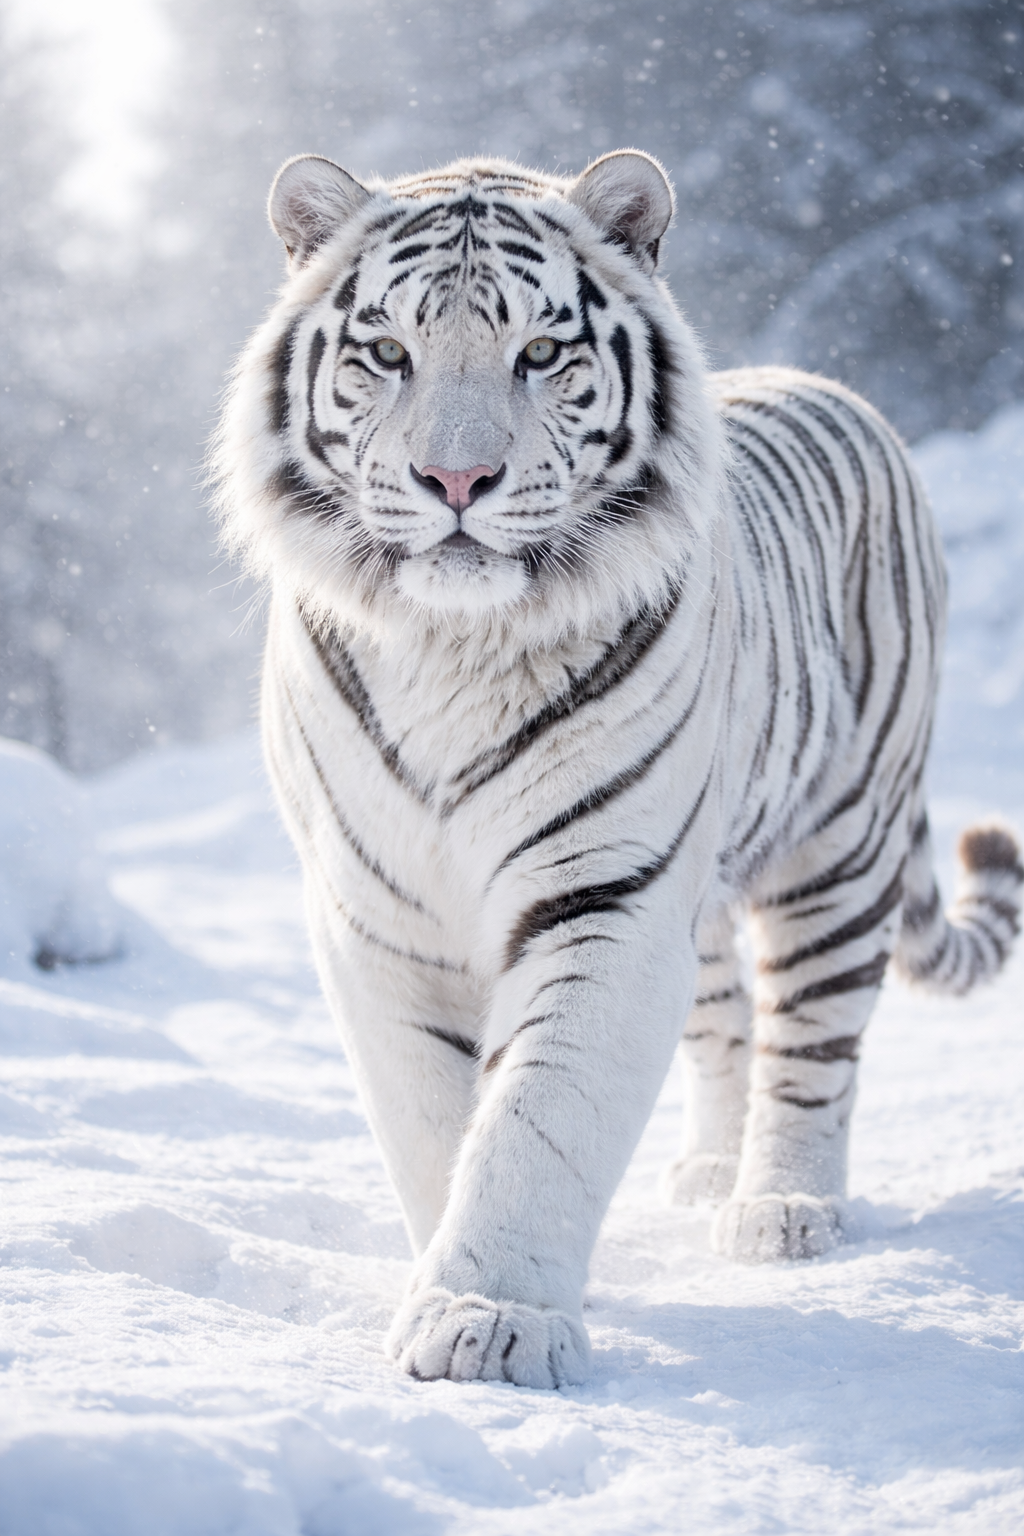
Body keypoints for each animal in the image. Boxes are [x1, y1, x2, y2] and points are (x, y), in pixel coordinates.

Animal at [214, 149, 1022, 1389]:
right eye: (387, 353)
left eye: (541, 354)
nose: (457, 480)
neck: (453, 646)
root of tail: (831, 388)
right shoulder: (379, 915)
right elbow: (433, 1118)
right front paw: (461, 1286)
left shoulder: (605, 894)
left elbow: (538, 1115)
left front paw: (488, 1320)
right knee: (729, 1023)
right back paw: (707, 1173)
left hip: (840, 843)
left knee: (812, 1040)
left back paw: (781, 1209)